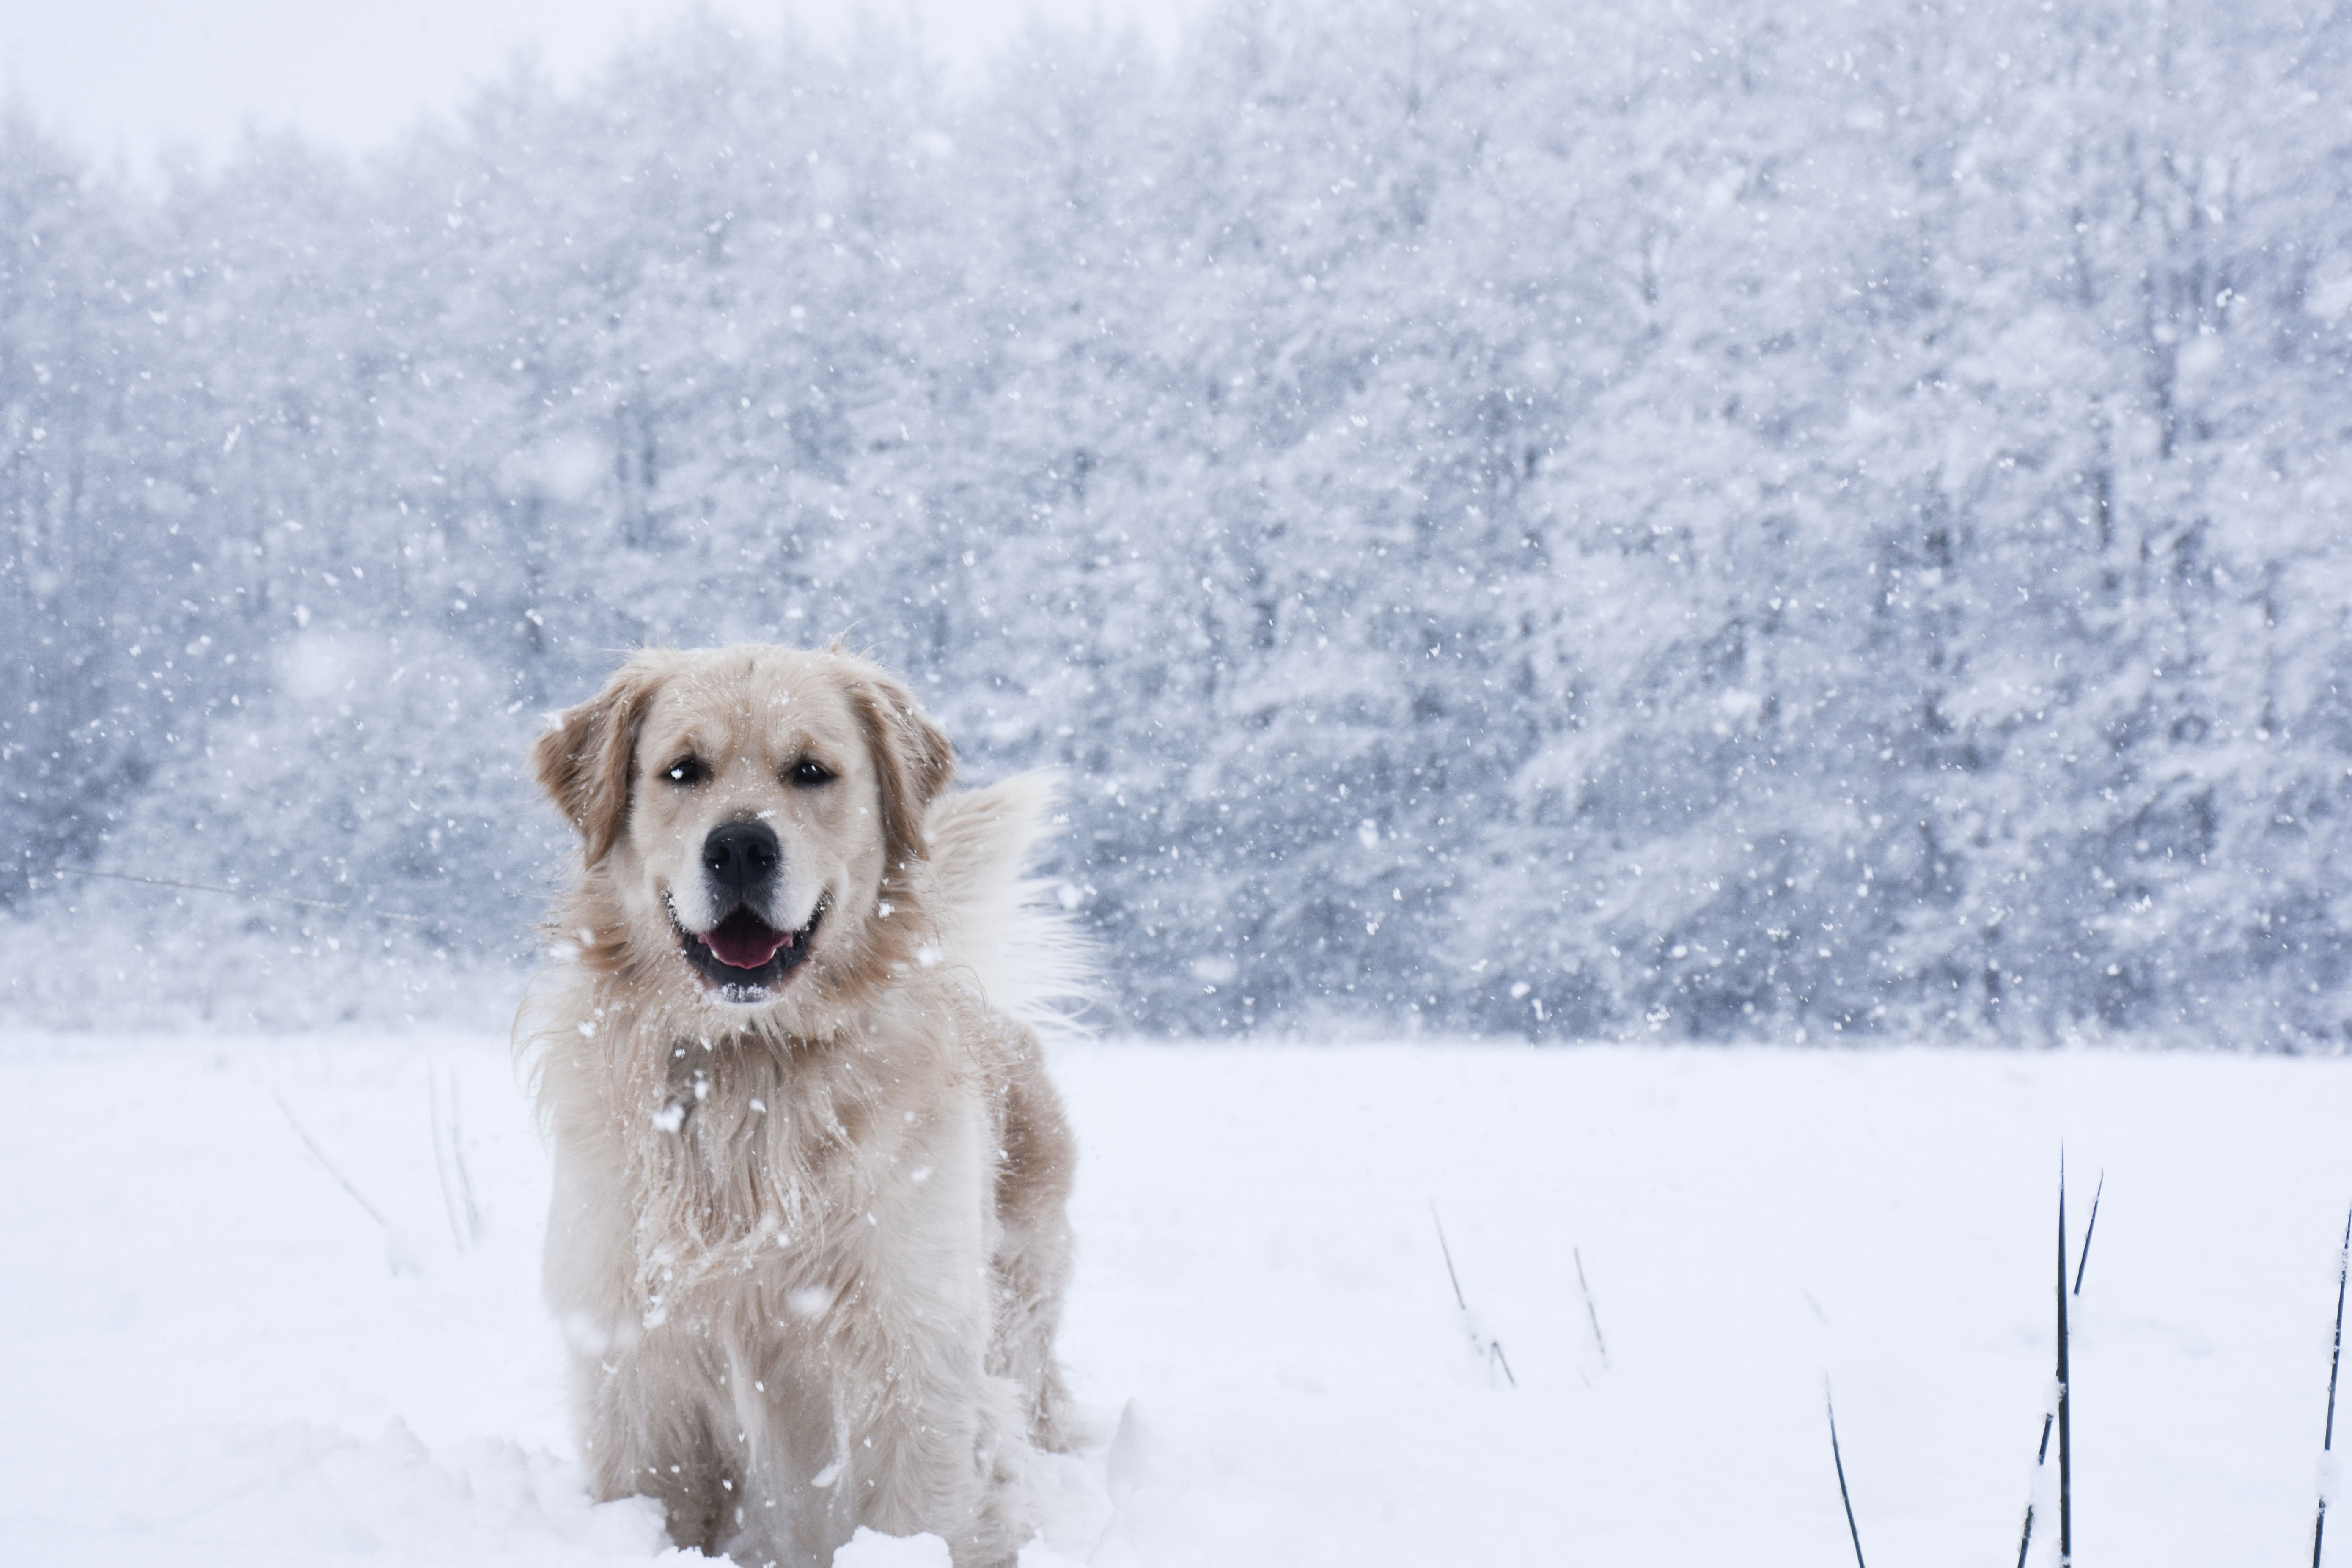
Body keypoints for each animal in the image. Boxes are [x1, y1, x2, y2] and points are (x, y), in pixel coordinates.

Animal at [519, 644, 1077, 1561]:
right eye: (683, 769)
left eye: (811, 770)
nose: (742, 844)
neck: (753, 1069)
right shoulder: (633, 1357)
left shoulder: (914, 1351)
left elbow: (919, 1513)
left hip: (1018, 1320)